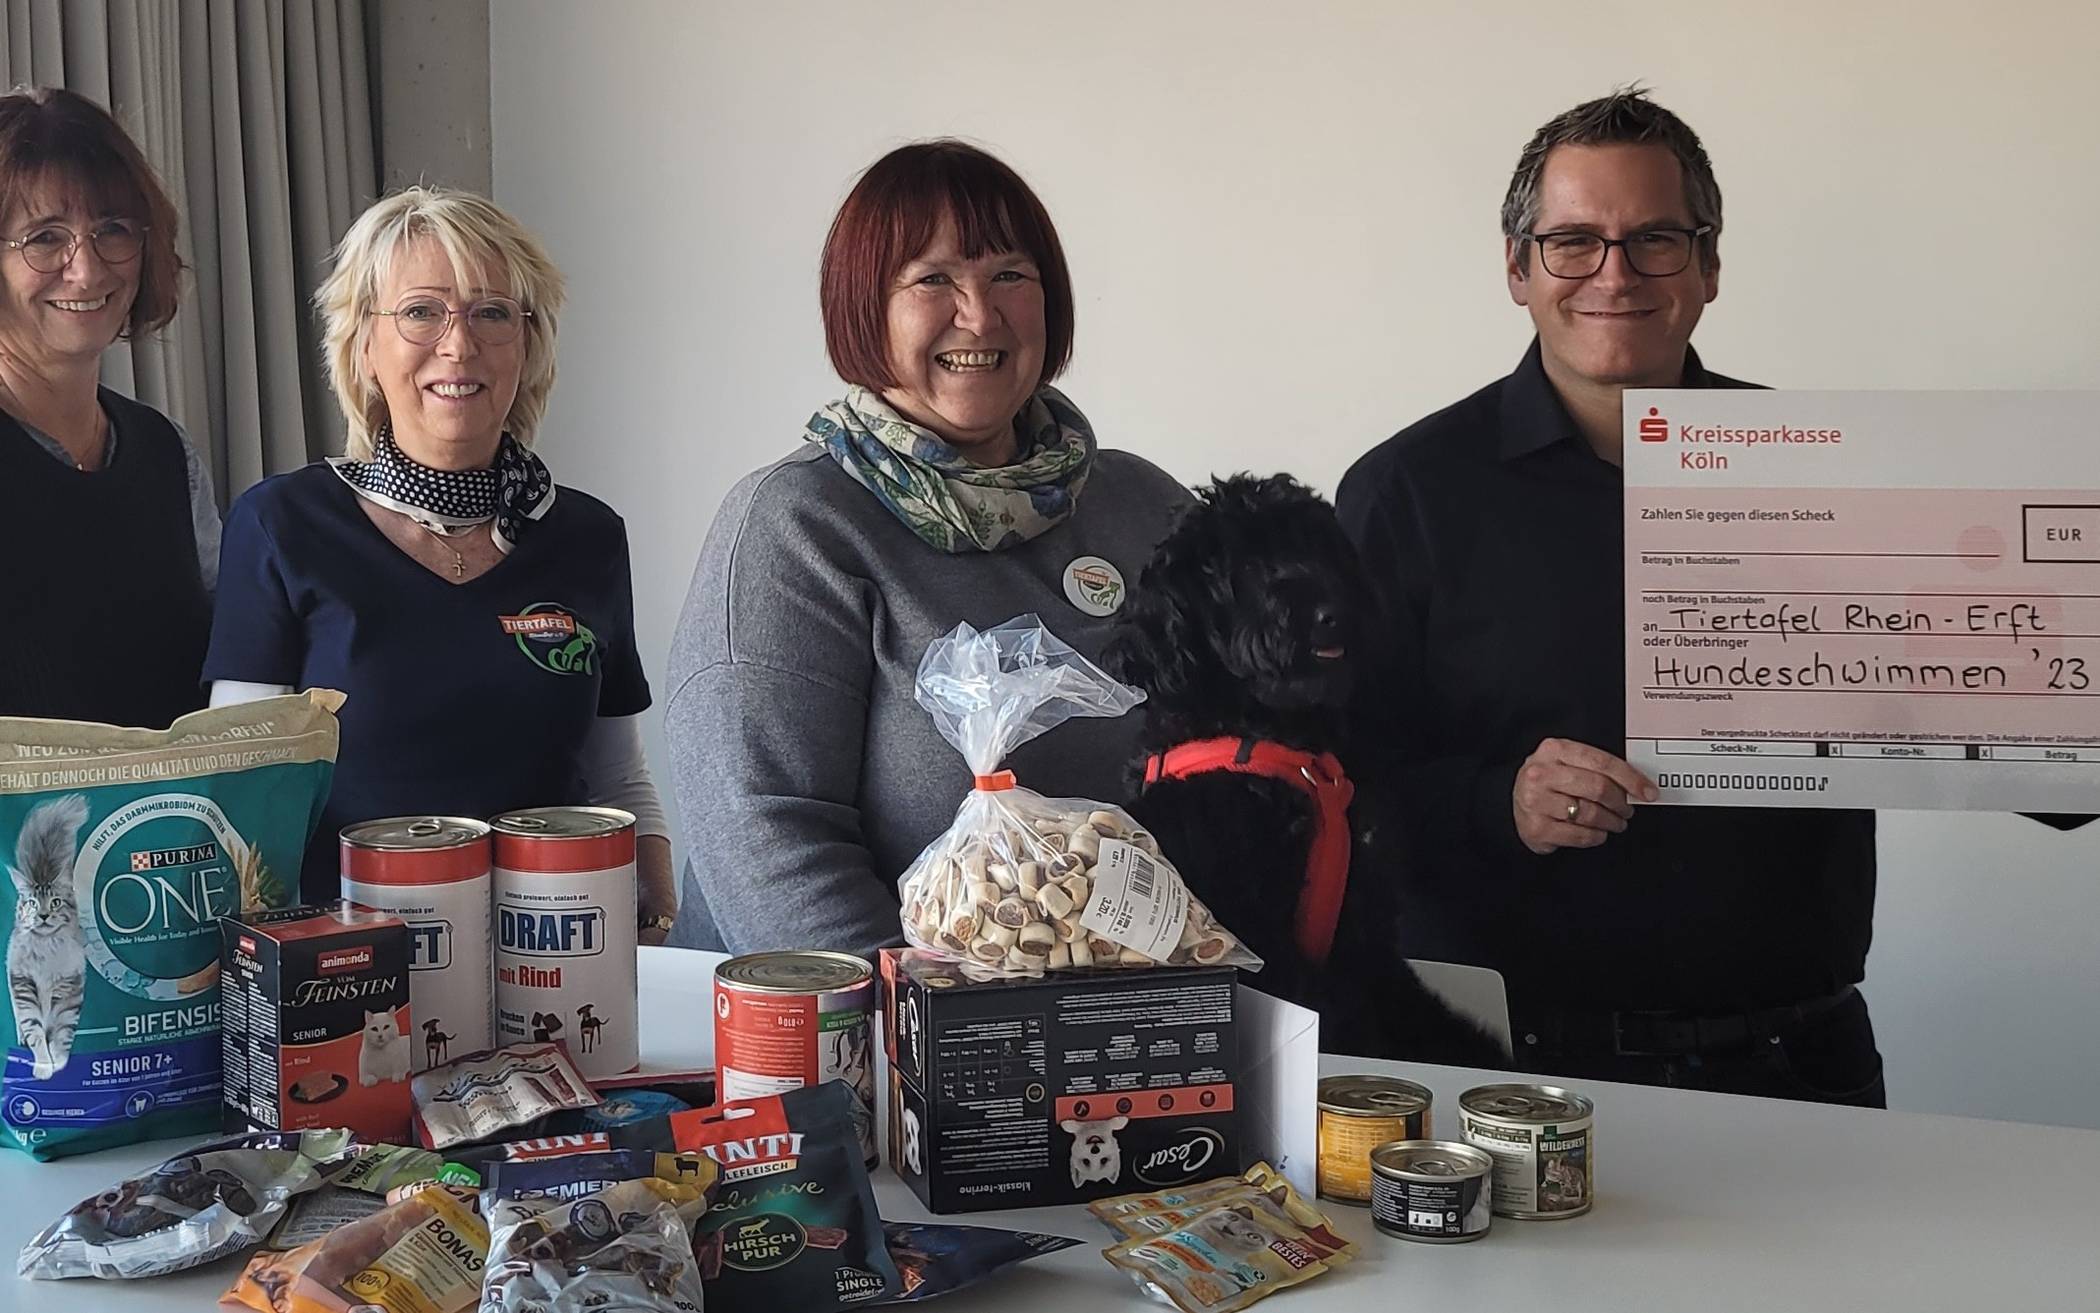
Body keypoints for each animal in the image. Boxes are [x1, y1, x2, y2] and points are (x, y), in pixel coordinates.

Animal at [1125, 470, 1503, 1067]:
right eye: (1244, 567)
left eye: (1320, 548)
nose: (1332, 614)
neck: (1287, 743)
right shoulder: (1265, 944)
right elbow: (1343, 1017)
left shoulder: (1366, 929)